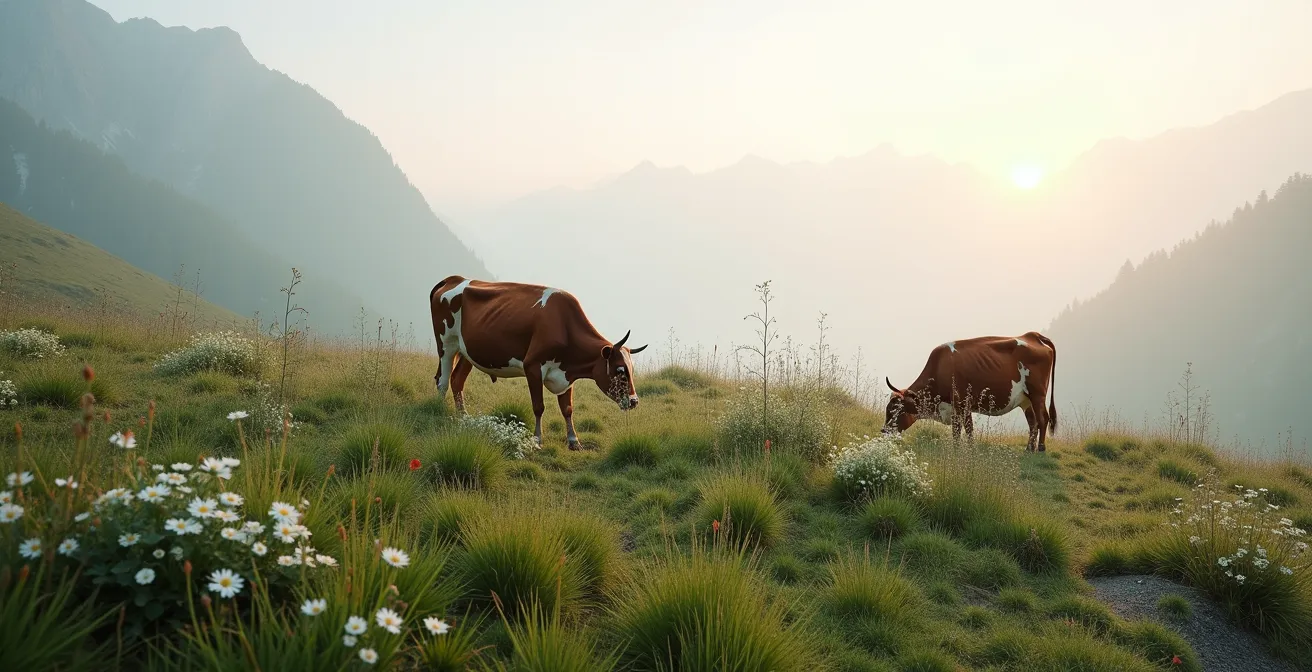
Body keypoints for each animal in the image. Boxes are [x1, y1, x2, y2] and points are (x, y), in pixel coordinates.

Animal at [428, 276, 647, 450]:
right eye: (620, 370)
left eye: (632, 369)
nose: (634, 401)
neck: (564, 326)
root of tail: (454, 278)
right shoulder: (532, 366)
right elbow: (538, 406)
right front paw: (537, 439)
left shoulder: (565, 374)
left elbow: (567, 408)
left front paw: (574, 441)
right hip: (446, 344)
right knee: (443, 381)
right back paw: (440, 413)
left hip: (468, 352)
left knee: (457, 381)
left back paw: (463, 417)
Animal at [883, 332, 1057, 451]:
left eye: (897, 410)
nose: (883, 431)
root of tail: (1033, 335)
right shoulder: (958, 408)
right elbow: (963, 430)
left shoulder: (961, 403)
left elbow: (963, 430)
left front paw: (962, 451)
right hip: (1025, 400)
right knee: (1033, 422)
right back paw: (1029, 448)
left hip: (1038, 394)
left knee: (1043, 419)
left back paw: (1041, 448)